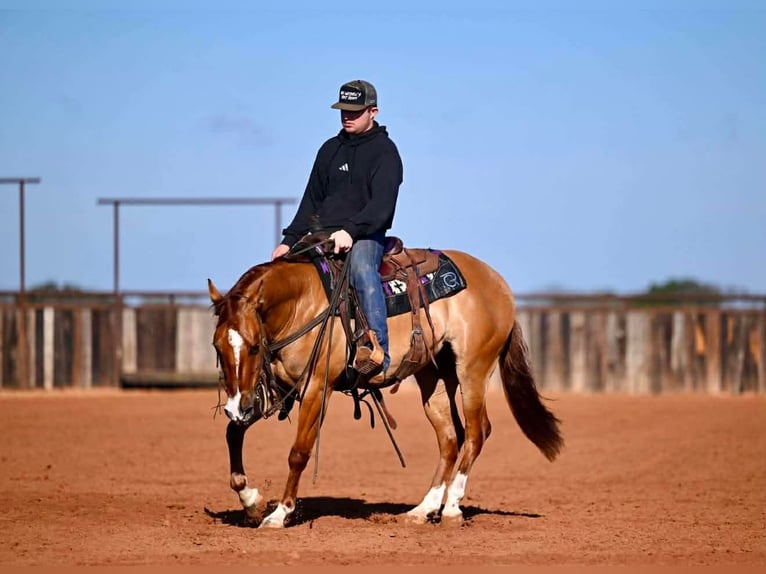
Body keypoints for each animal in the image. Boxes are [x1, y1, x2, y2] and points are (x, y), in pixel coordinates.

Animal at [207, 246, 563, 528]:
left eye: (254, 346)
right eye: (217, 347)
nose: (236, 407)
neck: (302, 304)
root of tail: (498, 284)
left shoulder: (316, 388)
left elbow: (298, 452)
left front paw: (280, 513)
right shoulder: (278, 388)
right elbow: (233, 433)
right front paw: (250, 502)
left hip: (473, 370)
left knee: (477, 432)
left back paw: (451, 509)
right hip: (433, 377)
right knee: (451, 438)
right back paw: (423, 509)